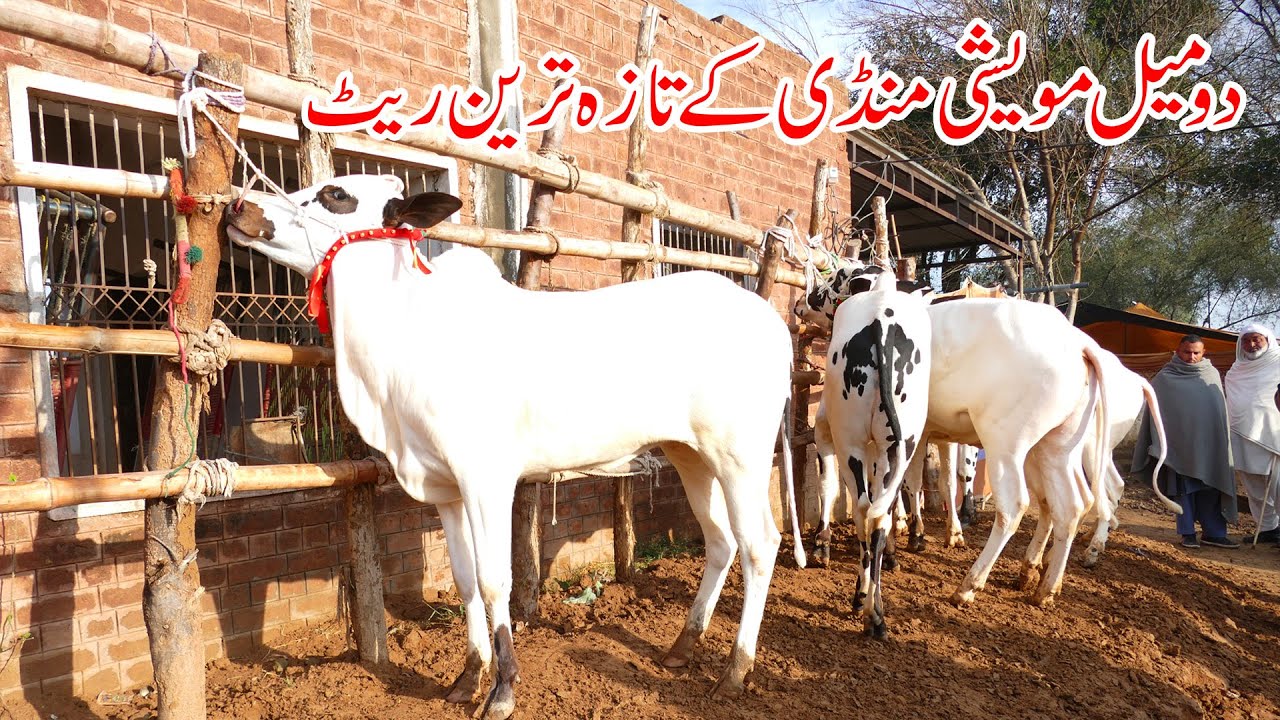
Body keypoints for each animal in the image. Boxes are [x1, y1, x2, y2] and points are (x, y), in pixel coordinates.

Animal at [223, 175, 806, 719]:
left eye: (336, 195)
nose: (237, 206)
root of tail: (770, 320)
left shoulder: (486, 480)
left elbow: (493, 581)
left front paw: (502, 689)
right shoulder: (444, 488)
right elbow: (463, 581)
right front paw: (468, 677)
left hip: (741, 457)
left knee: (760, 544)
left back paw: (735, 671)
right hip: (690, 455)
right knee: (721, 541)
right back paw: (683, 646)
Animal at [812, 274, 931, 638]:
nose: (805, 301)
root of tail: (883, 319)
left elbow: (830, 487)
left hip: (857, 443)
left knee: (868, 511)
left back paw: (868, 606)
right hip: (893, 443)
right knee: (875, 512)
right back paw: (872, 609)